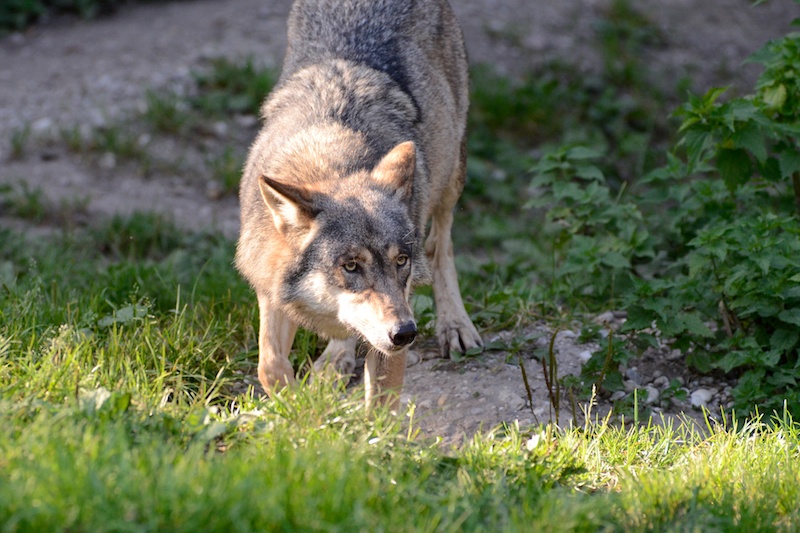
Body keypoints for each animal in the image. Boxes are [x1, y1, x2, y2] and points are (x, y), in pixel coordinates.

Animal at [235, 0, 483, 409]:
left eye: (401, 261)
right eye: (350, 266)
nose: (406, 333)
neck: (330, 155)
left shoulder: (399, 311)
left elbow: (380, 403)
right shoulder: (269, 284)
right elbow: (269, 366)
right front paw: (298, 409)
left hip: (450, 174)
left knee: (440, 245)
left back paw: (455, 325)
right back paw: (335, 362)